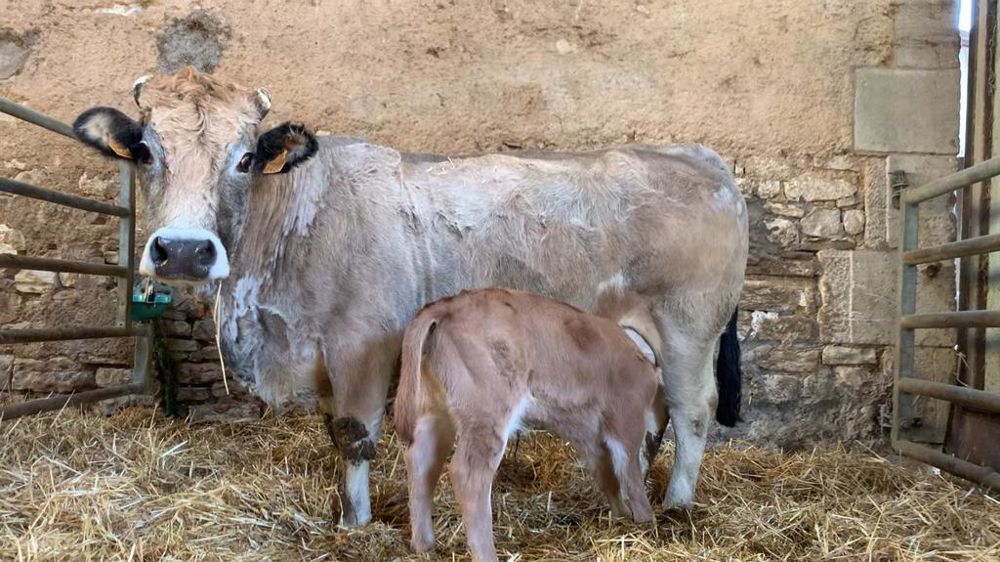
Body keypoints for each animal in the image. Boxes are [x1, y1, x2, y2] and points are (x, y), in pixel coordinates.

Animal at [72, 66, 748, 528]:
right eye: (147, 151)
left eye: (243, 160)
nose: (185, 249)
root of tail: (699, 156)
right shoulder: (324, 359)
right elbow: (332, 432)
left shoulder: (362, 346)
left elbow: (353, 434)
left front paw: (356, 522)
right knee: (652, 414)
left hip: (689, 330)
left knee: (692, 411)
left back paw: (676, 505)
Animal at [394, 288, 669, 562]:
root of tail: (444, 306)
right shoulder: (626, 418)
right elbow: (630, 474)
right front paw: (647, 522)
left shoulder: (587, 433)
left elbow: (607, 474)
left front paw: (621, 514)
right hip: (488, 412)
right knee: (468, 474)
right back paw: (486, 553)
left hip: (435, 410)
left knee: (421, 460)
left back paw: (424, 544)